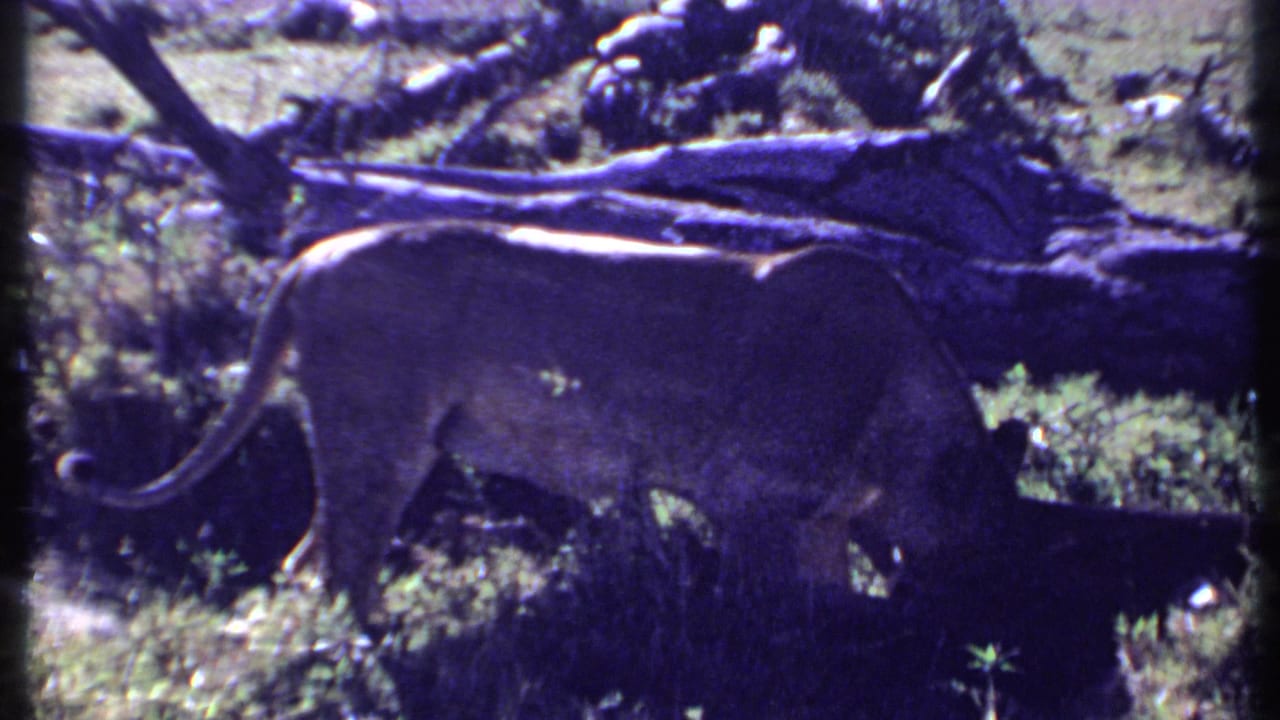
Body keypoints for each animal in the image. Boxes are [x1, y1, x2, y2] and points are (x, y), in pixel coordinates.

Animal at [57, 220, 1025, 622]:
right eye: (982, 547)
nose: (974, 609)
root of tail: (306, 258)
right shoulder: (750, 505)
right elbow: (783, 606)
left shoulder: (816, 521)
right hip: (379, 433)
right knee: (344, 564)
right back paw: (375, 643)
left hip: (363, 439)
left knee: (309, 558)